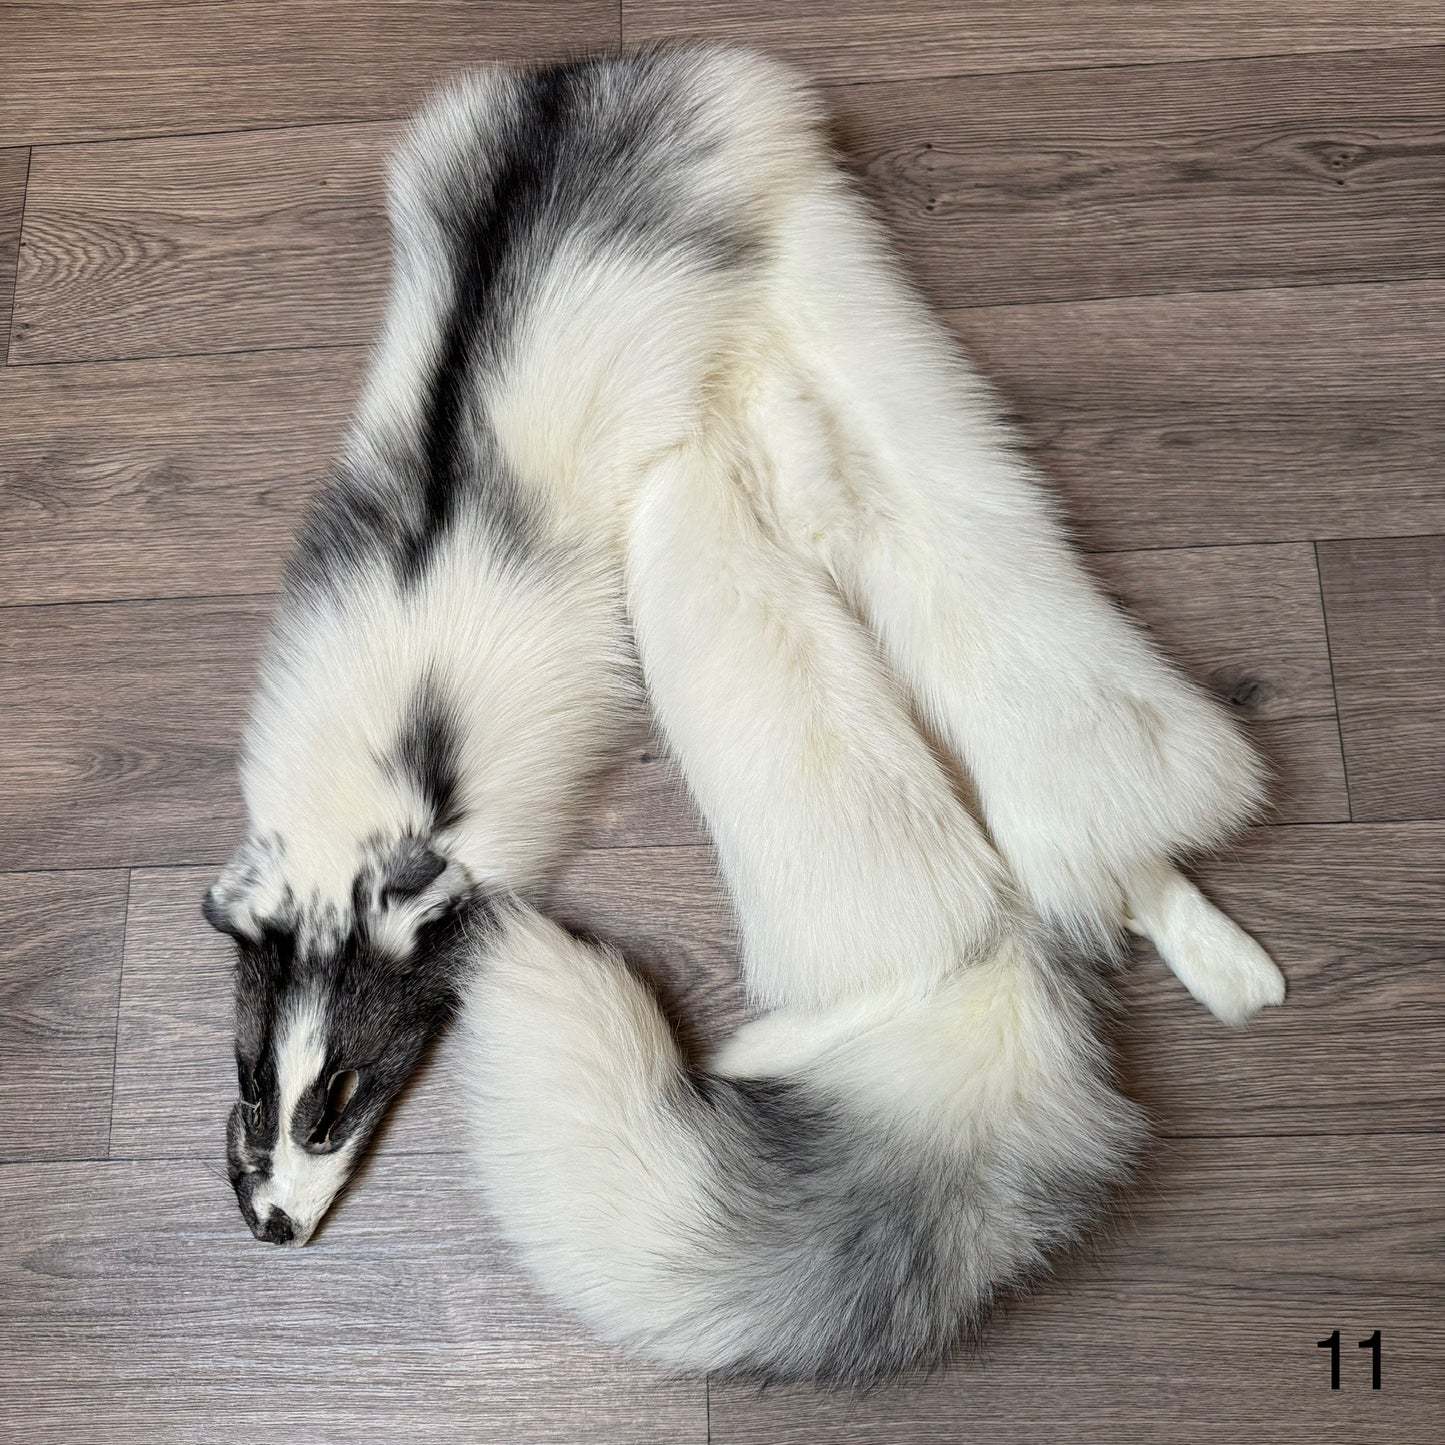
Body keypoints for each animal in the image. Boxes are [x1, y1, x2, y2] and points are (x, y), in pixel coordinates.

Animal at [205, 48, 1284, 1381]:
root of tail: (590, 71)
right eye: (253, 1081)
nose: (271, 1226)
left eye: (343, 1091)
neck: (379, 787)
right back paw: (1214, 958)